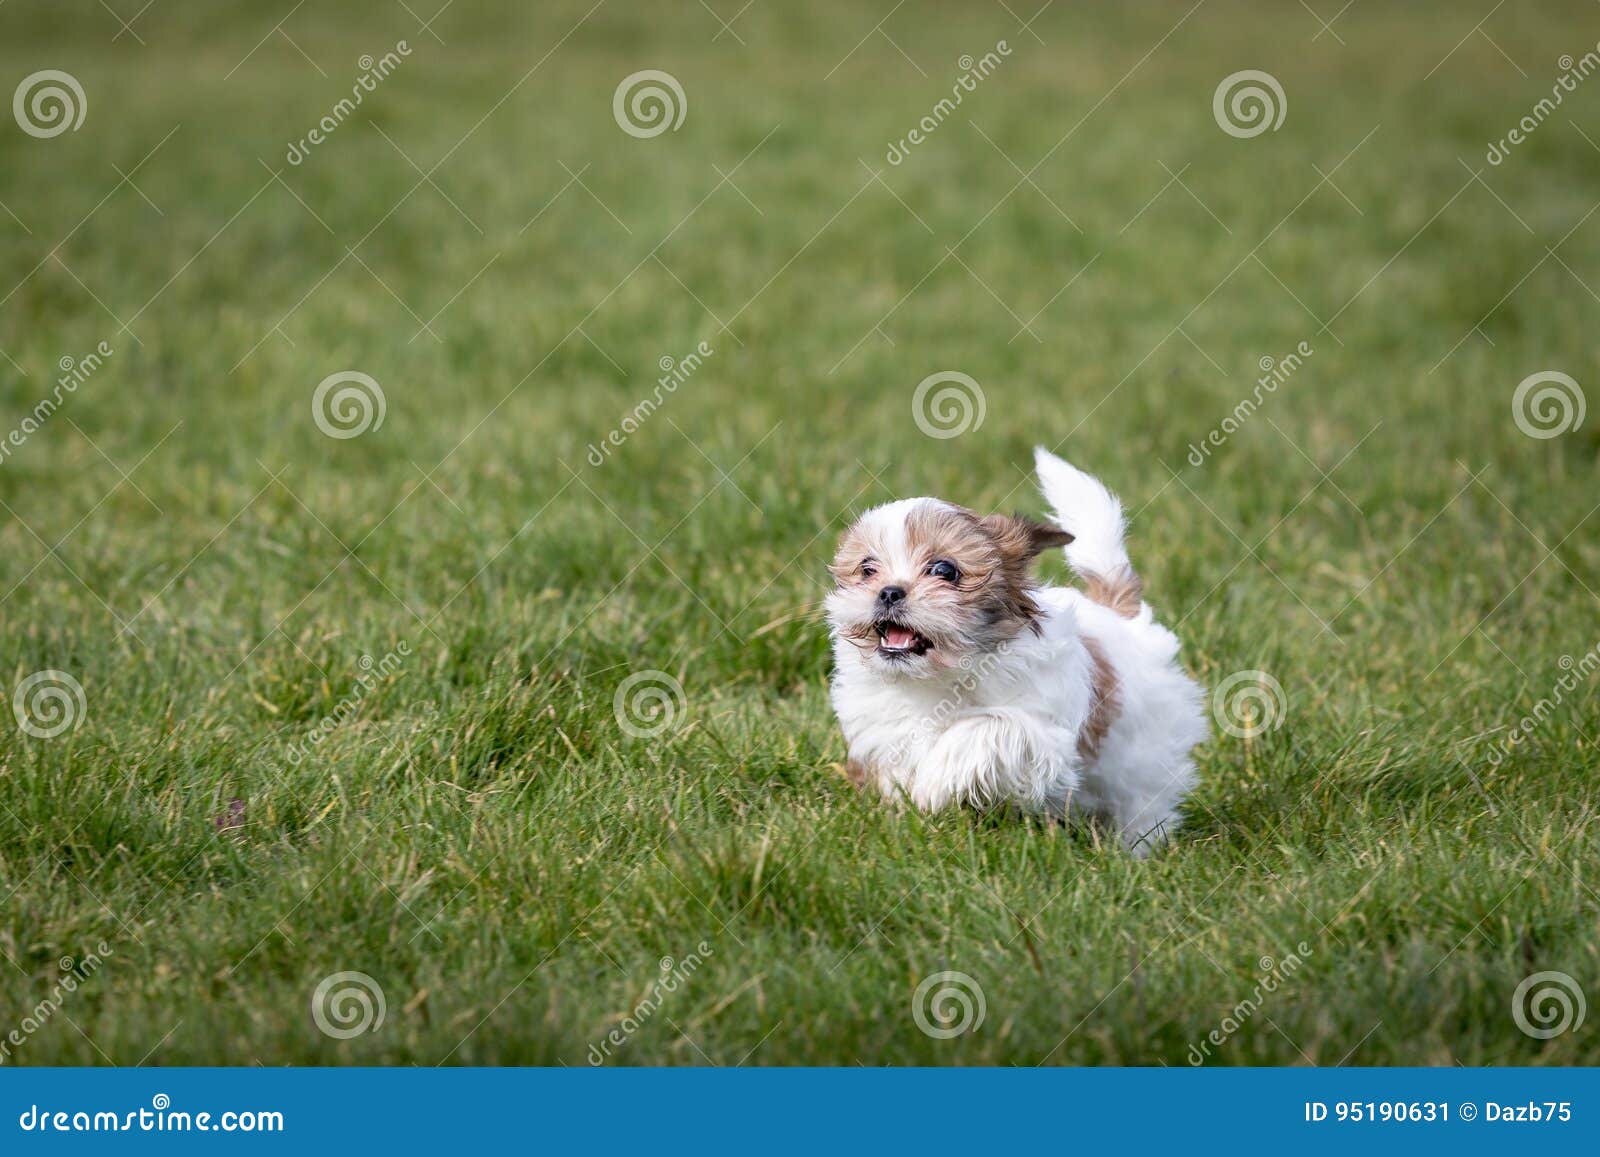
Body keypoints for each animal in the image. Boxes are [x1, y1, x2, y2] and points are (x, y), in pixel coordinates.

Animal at [832, 448, 1203, 857]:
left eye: (944, 570)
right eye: (867, 569)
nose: (889, 592)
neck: (940, 678)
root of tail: (1122, 614)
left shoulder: (1044, 736)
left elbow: (988, 726)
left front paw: (932, 784)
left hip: (1146, 761)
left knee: (1143, 804)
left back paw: (1134, 852)